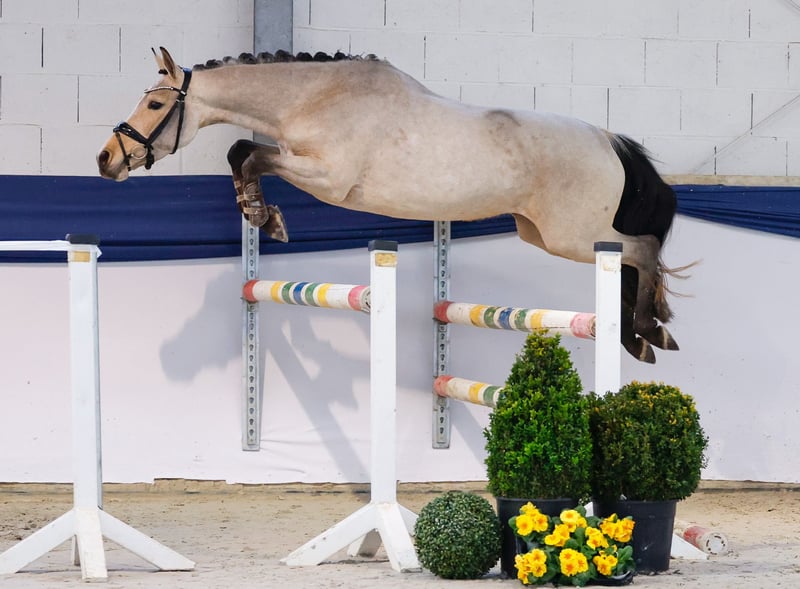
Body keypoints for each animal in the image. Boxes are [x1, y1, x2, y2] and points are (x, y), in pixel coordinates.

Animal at [97, 47, 682, 363]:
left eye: (156, 104)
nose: (106, 160)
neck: (317, 98)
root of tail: (606, 139)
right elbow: (244, 153)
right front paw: (261, 213)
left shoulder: (327, 178)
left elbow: (249, 154)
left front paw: (266, 217)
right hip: (541, 231)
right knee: (631, 258)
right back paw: (641, 335)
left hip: (572, 234)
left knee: (641, 250)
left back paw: (647, 329)